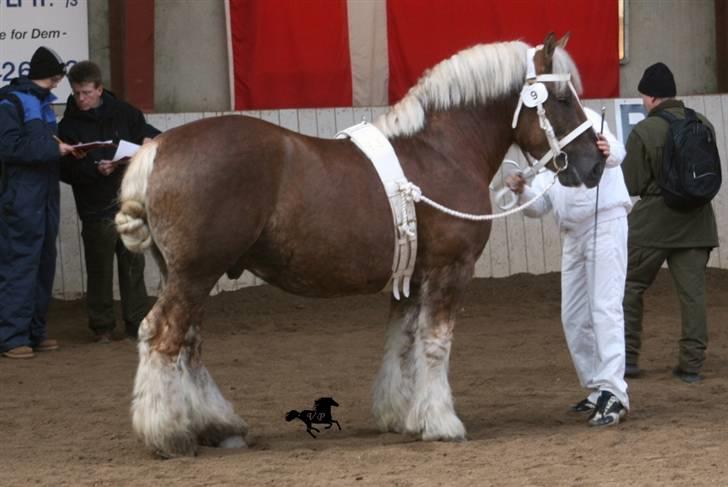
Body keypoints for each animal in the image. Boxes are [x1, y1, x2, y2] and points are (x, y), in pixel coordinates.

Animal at [114, 33, 604, 458]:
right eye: (563, 99)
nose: (595, 162)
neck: (441, 152)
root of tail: (156, 147)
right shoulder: (451, 269)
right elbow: (434, 343)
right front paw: (442, 422)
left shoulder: (412, 276)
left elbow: (400, 342)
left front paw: (402, 415)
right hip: (195, 274)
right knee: (162, 337)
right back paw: (168, 435)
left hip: (191, 276)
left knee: (189, 343)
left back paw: (218, 427)